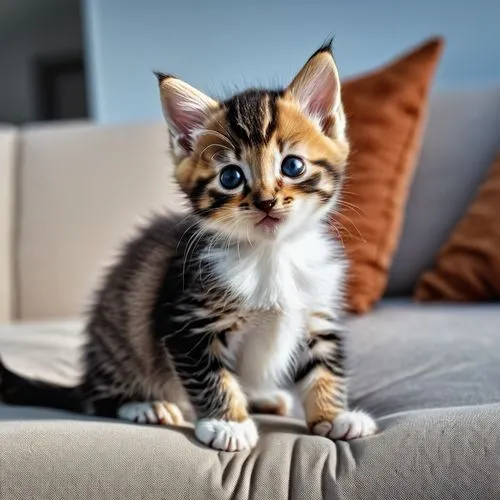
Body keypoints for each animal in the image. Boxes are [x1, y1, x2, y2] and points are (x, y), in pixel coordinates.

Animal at [0, 41, 376, 452]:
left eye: (292, 166)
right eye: (231, 177)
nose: (266, 202)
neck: (270, 254)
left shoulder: (318, 314)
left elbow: (325, 367)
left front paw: (333, 416)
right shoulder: (186, 319)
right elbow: (212, 377)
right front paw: (229, 423)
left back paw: (262, 397)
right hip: (120, 339)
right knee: (97, 398)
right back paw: (146, 405)